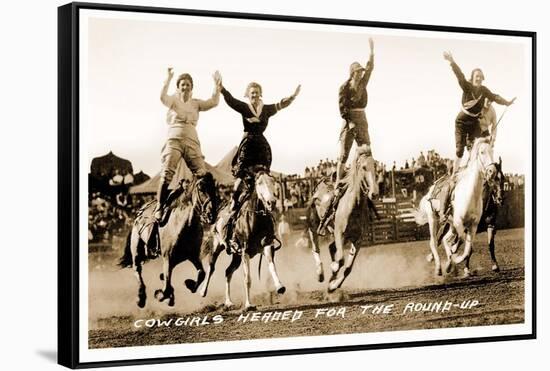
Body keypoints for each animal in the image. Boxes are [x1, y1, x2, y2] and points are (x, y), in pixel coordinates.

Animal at [118, 174, 220, 308]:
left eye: (215, 189)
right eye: (201, 188)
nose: (211, 214)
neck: (184, 225)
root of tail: (138, 216)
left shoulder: (193, 256)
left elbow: (201, 273)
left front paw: (189, 284)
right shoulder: (168, 258)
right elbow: (165, 288)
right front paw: (161, 295)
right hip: (137, 250)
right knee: (137, 269)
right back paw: (141, 297)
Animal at [198, 171, 284, 310]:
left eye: (272, 182)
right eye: (259, 183)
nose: (271, 202)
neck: (256, 220)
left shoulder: (267, 246)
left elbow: (272, 267)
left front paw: (280, 286)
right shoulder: (245, 251)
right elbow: (247, 278)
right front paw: (248, 304)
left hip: (236, 256)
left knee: (228, 271)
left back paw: (229, 302)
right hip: (216, 247)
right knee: (211, 267)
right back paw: (202, 291)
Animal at [306, 145, 380, 294]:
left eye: (376, 166)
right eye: (364, 167)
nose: (374, 193)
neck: (353, 206)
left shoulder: (358, 240)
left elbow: (348, 268)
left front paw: (333, 285)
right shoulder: (340, 234)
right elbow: (340, 261)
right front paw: (333, 271)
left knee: (331, 247)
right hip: (314, 223)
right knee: (315, 246)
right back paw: (320, 273)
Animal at [414, 138, 500, 278]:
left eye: (492, 151)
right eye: (482, 152)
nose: (492, 171)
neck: (471, 194)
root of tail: (430, 190)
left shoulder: (473, 225)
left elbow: (468, 248)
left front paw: (453, 263)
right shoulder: (459, 222)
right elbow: (462, 241)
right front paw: (455, 259)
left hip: (451, 223)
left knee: (445, 239)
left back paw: (449, 265)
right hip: (434, 219)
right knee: (434, 242)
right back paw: (439, 268)